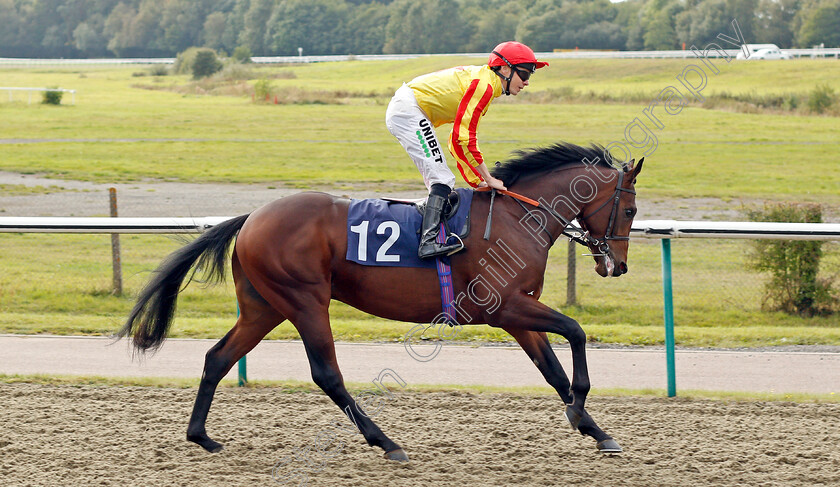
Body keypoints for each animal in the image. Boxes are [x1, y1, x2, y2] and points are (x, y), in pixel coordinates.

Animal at [116, 142, 644, 462]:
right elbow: (575, 332)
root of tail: (252, 217)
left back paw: (201, 436)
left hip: (264, 307)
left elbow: (553, 370)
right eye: (631, 208)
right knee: (326, 374)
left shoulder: (518, 314)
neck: (517, 219)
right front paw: (580, 412)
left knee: (217, 357)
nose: (617, 265)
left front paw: (595, 430)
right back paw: (386, 441)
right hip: (305, 300)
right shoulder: (503, 308)